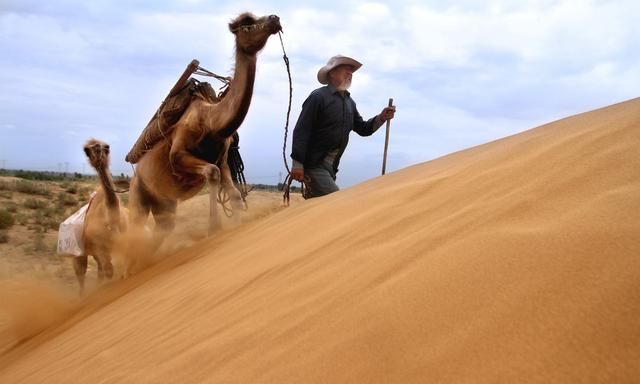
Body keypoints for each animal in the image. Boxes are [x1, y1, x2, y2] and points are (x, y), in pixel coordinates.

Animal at [75, 140, 127, 292]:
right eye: (86, 150)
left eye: (107, 147)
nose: (98, 151)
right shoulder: (101, 248)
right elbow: (110, 271)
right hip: (81, 254)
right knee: (81, 274)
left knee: (100, 271)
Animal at [129, 12, 282, 246]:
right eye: (247, 25)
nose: (275, 18)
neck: (211, 123)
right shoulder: (178, 155)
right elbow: (212, 173)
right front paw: (214, 228)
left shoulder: (223, 160)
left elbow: (234, 195)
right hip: (138, 193)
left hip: (164, 204)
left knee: (162, 228)